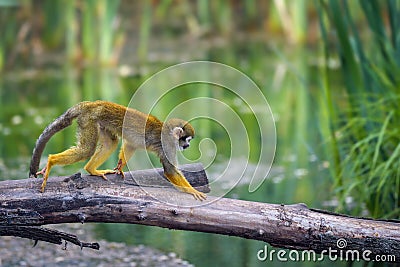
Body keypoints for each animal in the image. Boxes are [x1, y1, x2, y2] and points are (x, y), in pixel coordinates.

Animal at [28, 100, 206, 201]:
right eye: (187, 140)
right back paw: (51, 161)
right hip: (89, 120)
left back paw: (91, 169)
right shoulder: (167, 145)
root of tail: (89, 104)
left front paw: (120, 166)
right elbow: (170, 171)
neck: (168, 134)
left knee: (110, 143)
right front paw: (193, 191)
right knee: (86, 150)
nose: (187, 146)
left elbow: (130, 144)